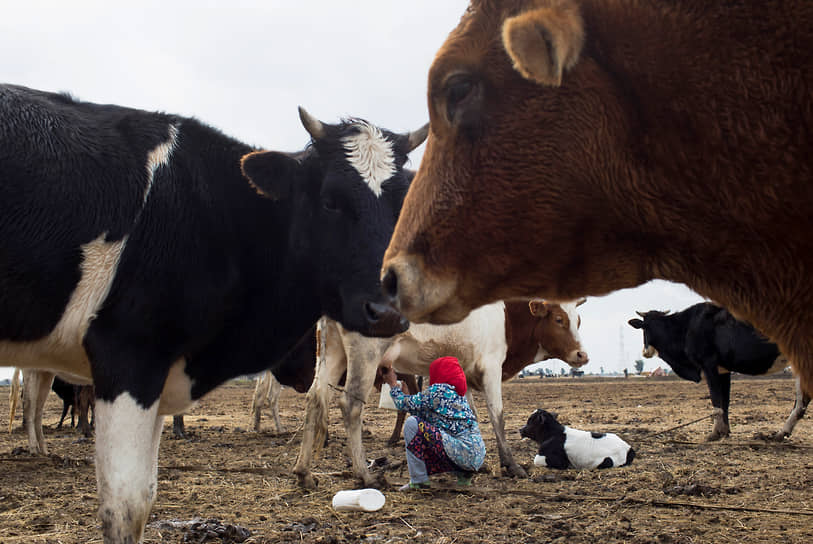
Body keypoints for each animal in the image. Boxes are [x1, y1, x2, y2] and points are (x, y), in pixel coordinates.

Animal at [0, 82, 426, 544]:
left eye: (403, 207)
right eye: (331, 200)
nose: (389, 311)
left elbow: (145, 497)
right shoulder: (128, 355)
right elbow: (125, 508)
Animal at [292, 300, 584, 486]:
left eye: (578, 320)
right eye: (559, 319)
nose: (583, 354)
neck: (507, 319)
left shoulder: (465, 372)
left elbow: (472, 413)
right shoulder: (491, 367)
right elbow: (497, 416)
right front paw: (511, 465)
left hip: (333, 353)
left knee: (315, 398)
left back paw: (304, 472)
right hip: (366, 354)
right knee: (351, 404)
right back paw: (365, 475)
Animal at [628, 302, 804, 442]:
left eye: (645, 328)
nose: (646, 352)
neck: (686, 327)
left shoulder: (709, 365)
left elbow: (716, 399)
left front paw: (715, 433)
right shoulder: (723, 370)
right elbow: (725, 401)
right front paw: (725, 431)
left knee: (801, 401)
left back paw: (782, 432)